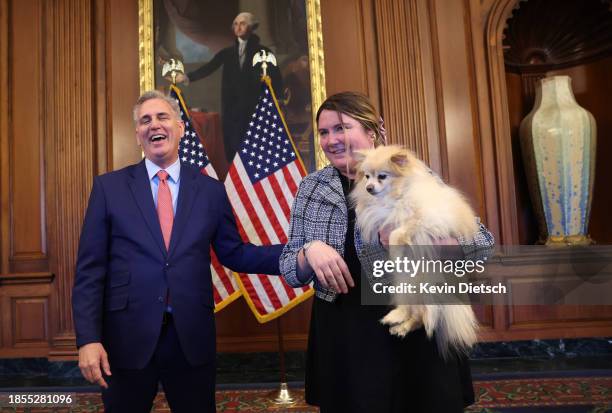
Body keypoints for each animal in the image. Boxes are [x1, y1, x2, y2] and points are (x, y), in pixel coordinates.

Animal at [352, 144, 480, 354]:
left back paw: (403, 325)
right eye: (367, 176)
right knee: (412, 311)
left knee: (423, 315)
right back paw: (396, 319)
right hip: (406, 285)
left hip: (427, 287)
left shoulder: (426, 219)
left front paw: (396, 250)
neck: (396, 194)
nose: (369, 188)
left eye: (382, 176)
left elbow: (400, 232)